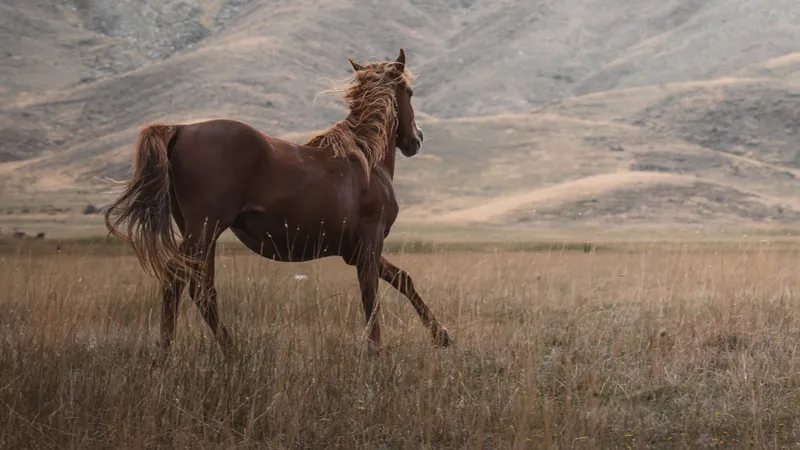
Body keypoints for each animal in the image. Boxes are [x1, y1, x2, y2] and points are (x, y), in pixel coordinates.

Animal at [104, 49, 451, 360]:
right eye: (409, 91)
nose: (416, 139)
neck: (366, 160)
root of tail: (182, 129)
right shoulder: (369, 241)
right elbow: (371, 295)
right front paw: (376, 348)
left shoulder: (353, 251)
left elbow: (402, 279)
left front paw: (441, 335)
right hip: (204, 229)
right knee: (178, 280)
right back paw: (171, 351)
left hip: (203, 233)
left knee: (201, 289)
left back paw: (228, 350)